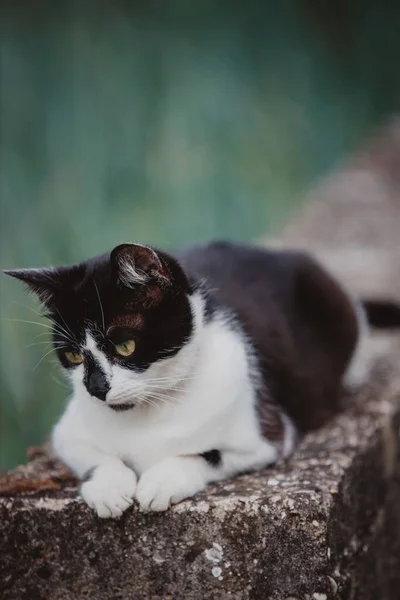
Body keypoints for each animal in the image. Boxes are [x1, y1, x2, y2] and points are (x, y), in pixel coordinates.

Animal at [5, 243, 400, 516]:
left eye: (125, 346)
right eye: (73, 356)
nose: (96, 388)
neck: (149, 412)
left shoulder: (267, 435)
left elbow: (206, 454)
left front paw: (159, 481)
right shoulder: (67, 433)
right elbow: (95, 456)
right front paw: (109, 488)